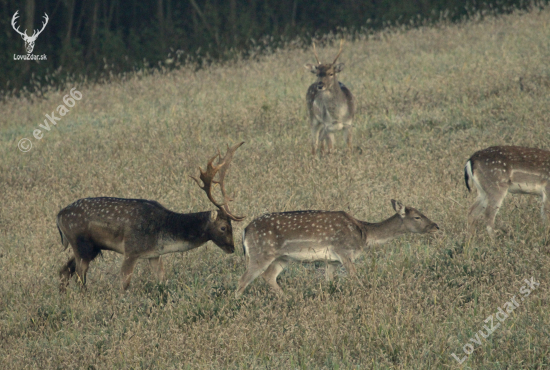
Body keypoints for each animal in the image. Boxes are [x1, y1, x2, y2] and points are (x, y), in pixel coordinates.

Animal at [57, 143, 245, 290]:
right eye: (223, 227)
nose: (232, 248)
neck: (164, 231)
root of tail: (59, 216)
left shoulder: (154, 254)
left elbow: (162, 280)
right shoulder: (131, 250)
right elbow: (124, 285)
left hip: (90, 247)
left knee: (64, 270)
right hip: (81, 243)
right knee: (79, 277)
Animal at [237, 199, 440, 298]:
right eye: (417, 217)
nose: (436, 226)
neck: (364, 234)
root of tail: (245, 231)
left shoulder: (332, 260)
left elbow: (330, 282)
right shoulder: (344, 252)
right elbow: (356, 278)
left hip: (282, 257)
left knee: (268, 276)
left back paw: (288, 298)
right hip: (261, 253)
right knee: (243, 280)